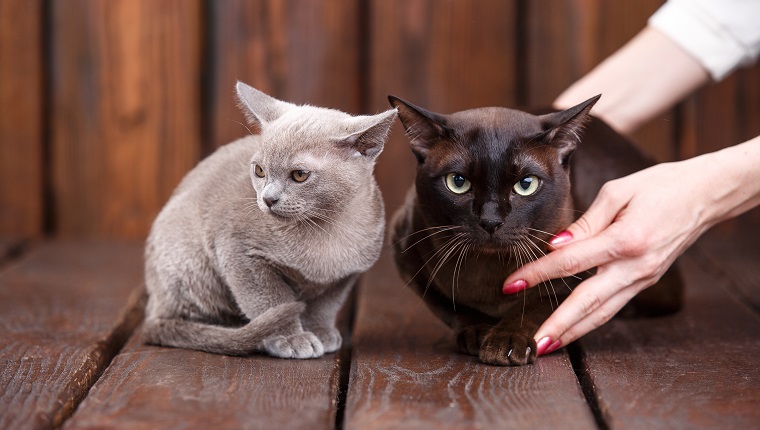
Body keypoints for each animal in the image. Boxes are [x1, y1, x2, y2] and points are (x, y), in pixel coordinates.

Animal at [140, 82, 398, 358]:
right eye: (260, 170)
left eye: (299, 175)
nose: (268, 198)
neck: (326, 229)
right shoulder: (240, 253)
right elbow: (271, 300)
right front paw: (292, 338)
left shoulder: (344, 276)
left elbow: (324, 307)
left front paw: (321, 332)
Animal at [388, 95, 680, 366]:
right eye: (458, 182)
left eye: (526, 184)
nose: (491, 221)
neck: (488, 275)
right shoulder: (408, 261)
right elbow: (453, 308)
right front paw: (478, 333)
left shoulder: (580, 276)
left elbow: (538, 306)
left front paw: (505, 342)